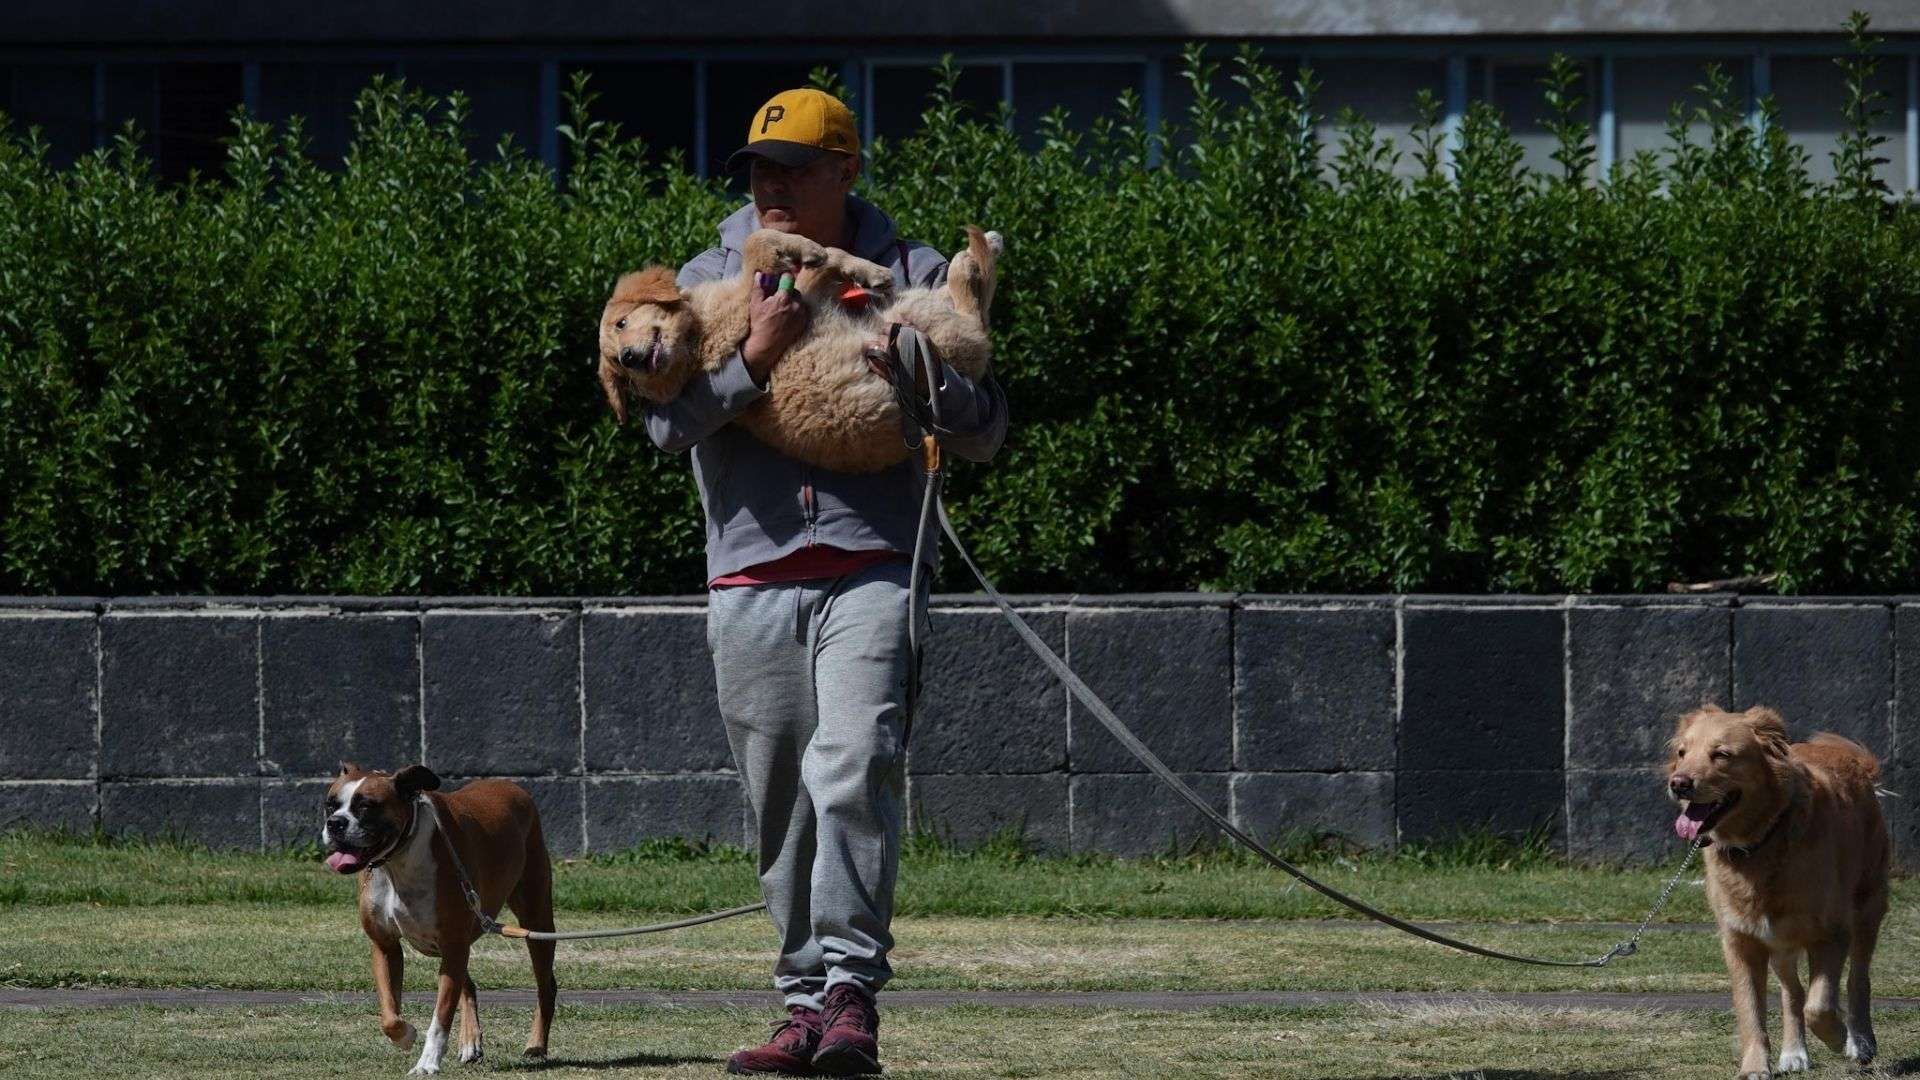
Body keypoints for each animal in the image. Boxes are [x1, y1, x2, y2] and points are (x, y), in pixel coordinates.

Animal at [322, 760, 556, 1068]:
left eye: (367, 806)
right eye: (330, 805)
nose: (335, 823)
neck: (399, 858)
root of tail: (511, 784)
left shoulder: (452, 944)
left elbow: (441, 1015)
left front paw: (427, 1063)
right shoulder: (386, 946)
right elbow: (389, 1014)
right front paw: (406, 1035)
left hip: (534, 919)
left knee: (546, 986)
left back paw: (536, 1045)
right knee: (468, 985)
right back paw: (469, 1042)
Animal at [595, 223, 1006, 470]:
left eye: (621, 324)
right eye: (619, 365)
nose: (630, 358)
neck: (695, 341)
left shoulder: (803, 290)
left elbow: (822, 255)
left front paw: (857, 266)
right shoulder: (756, 301)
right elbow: (757, 242)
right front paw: (814, 251)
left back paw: (988, 243)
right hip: (922, 326)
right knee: (975, 314)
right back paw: (968, 262)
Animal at [1666, 703, 1889, 1068]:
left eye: (1722, 754)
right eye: (1683, 753)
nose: (1679, 784)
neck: (1761, 841)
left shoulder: (1832, 933)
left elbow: (1820, 1007)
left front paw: (1838, 1037)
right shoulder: (1741, 941)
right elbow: (1751, 1011)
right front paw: (1755, 1067)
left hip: (1868, 909)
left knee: (1858, 980)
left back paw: (1860, 1041)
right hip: (1779, 940)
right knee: (1793, 992)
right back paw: (1794, 1052)